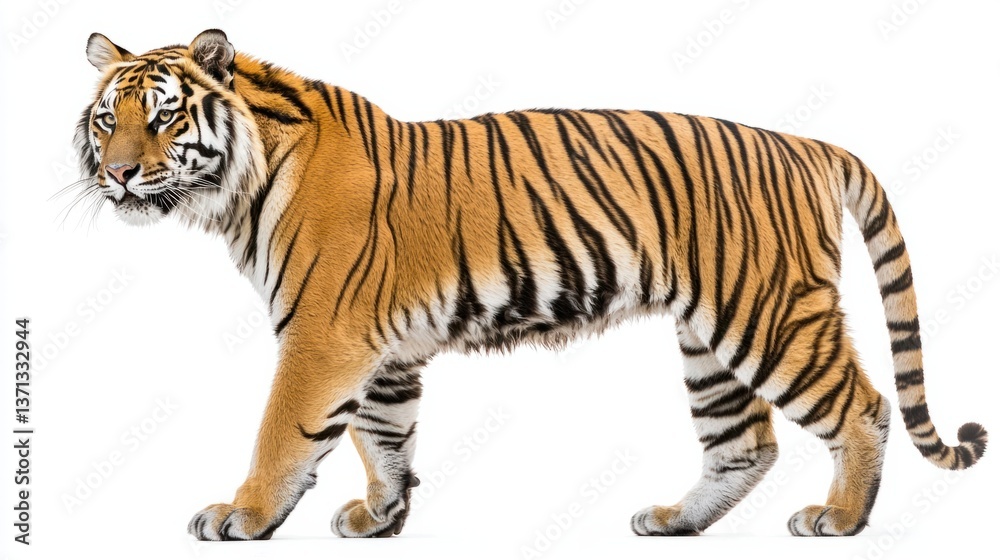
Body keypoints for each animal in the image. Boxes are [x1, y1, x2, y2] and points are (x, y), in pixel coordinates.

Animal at [74, 29, 987, 540]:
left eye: (163, 115)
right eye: (106, 118)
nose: (115, 174)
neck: (237, 188)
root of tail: (808, 143)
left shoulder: (322, 336)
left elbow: (284, 434)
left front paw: (244, 515)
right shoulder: (378, 347)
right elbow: (384, 436)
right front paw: (382, 516)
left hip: (770, 317)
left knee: (863, 408)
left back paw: (841, 519)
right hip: (709, 336)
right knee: (744, 443)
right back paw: (673, 521)